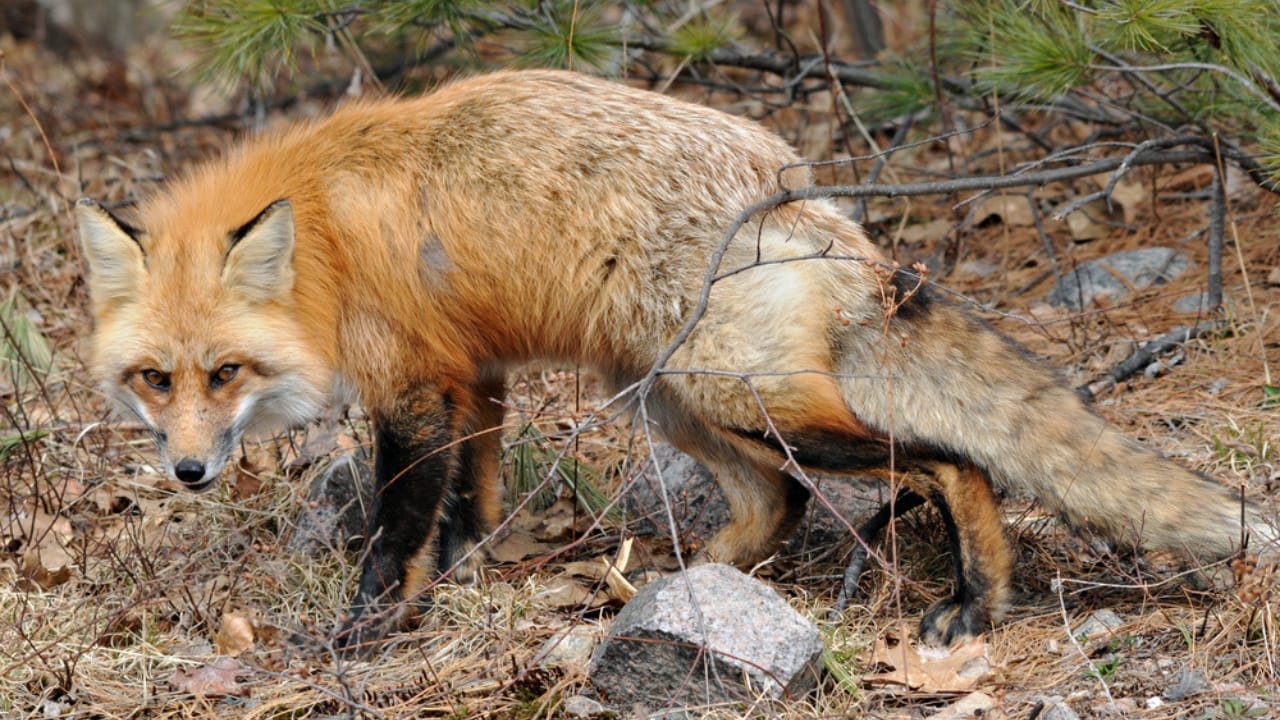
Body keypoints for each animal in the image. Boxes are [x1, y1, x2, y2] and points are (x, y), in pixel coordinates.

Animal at [77, 69, 1276, 651]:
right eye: (155, 379)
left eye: (224, 374)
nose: (187, 472)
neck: (323, 242)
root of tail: (802, 192)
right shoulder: (475, 375)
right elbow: (469, 505)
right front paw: (455, 582)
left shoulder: (414, 390)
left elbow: (396, 531)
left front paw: (365, 633)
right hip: (663, 397)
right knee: (778, 505)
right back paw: (674, 589)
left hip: (733, 394)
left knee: (951, 460)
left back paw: (976, 604)